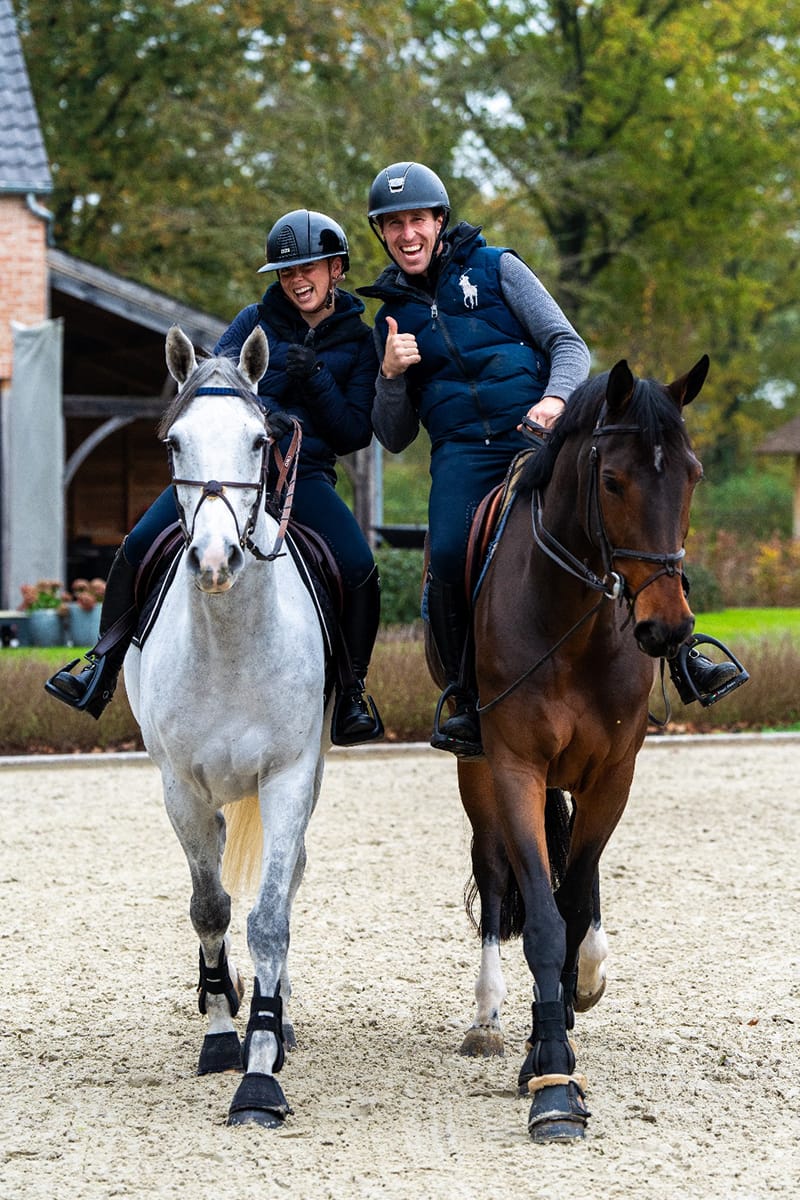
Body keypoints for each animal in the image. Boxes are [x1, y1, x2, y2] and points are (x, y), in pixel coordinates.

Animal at [124, 325, 330, 1128]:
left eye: (259, 440)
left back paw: (278, 1016)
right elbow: (209, 906)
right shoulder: (180, 786)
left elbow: (270, 918)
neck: (232, 641)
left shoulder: (289, 779)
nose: (216, 559)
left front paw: (262, 1075)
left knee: (289, 880)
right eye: (174, 443)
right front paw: (220, 1038)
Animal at [440, 356, 709, 1143]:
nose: (667, 629)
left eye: (692, 474)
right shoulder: (514, 768)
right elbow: (542, 919)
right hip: (477, 776)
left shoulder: (613, 774)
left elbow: (577, 892)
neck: (574, 621)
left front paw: (579, 994)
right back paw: (489, 1019)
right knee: (497, 879)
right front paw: (552, 1081)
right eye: (613, 480)